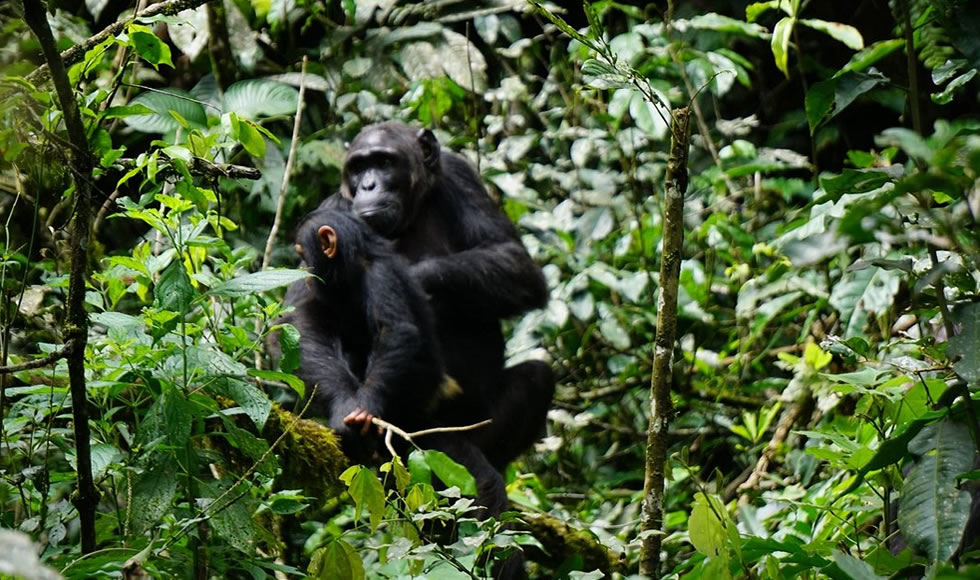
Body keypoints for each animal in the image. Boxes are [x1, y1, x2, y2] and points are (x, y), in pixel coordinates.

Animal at [326, 122, 556, 472]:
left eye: (383, 162)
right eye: (358, 167)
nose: (367, 184)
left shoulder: (461, 176)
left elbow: (514, 261)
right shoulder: (332, 213)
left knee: (538, 375)